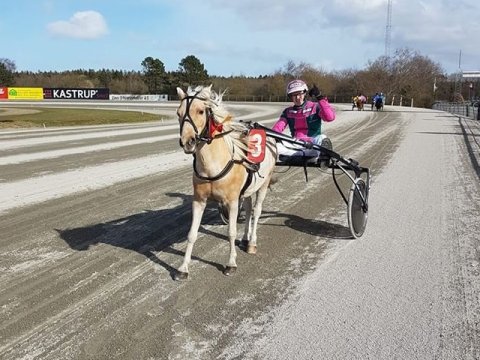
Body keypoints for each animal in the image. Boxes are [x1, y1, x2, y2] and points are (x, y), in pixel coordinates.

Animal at [175, 85, 278, 282]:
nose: (187, 142)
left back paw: (252, 242)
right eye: (178, 113)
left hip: (263, 183)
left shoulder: (231, 201)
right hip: (246, 190)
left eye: (200, 111)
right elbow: (192, 234)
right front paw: (183, 268)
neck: (213, 165)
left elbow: (231, 232)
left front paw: (231, 264)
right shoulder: (199, 200)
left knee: (257, 212)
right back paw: (245, 238)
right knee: (248, 208)